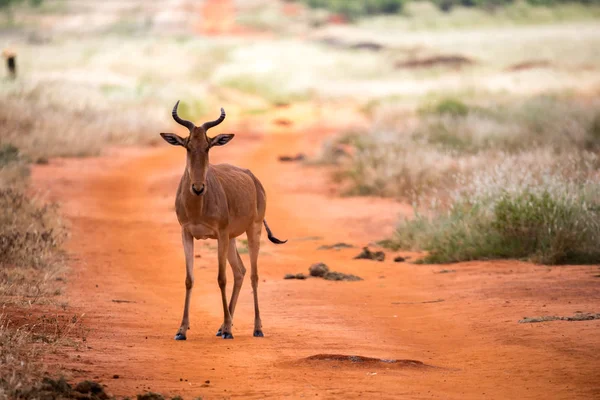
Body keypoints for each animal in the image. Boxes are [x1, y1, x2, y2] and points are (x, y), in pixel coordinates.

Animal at [161, 101, 288, 340]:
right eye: (187, 145)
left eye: (208, 146)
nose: (198, 187)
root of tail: (252, 177)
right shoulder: (186, 233)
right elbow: (189, 279)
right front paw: (181, 330)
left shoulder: (219, 234)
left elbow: (221, 278)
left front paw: (229, 330)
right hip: (231, 238)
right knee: (240, 271)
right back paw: (222, 326)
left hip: (252, 229)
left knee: (253, 274)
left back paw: (255, 328)